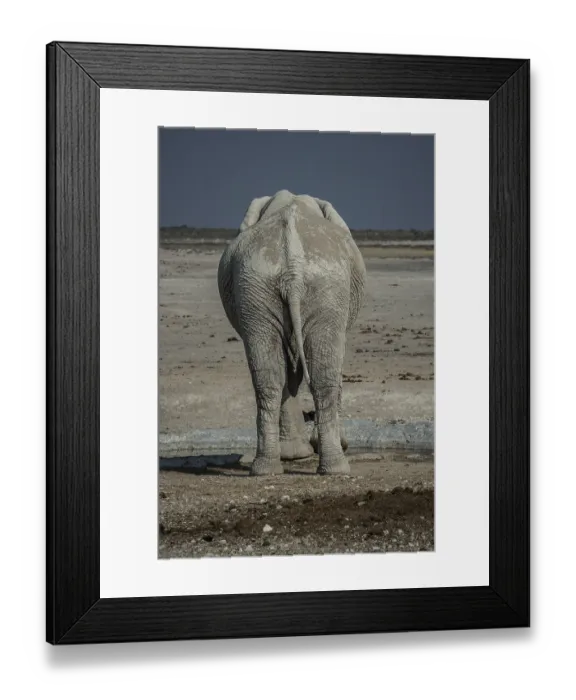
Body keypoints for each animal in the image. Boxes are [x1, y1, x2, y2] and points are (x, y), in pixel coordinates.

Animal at [217, 190, 366, 475]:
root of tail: (292, 270)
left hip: (261, 286)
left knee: (269, 375)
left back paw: (267, 469)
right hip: (318, 285)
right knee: (322, 373)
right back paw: (333, 466)